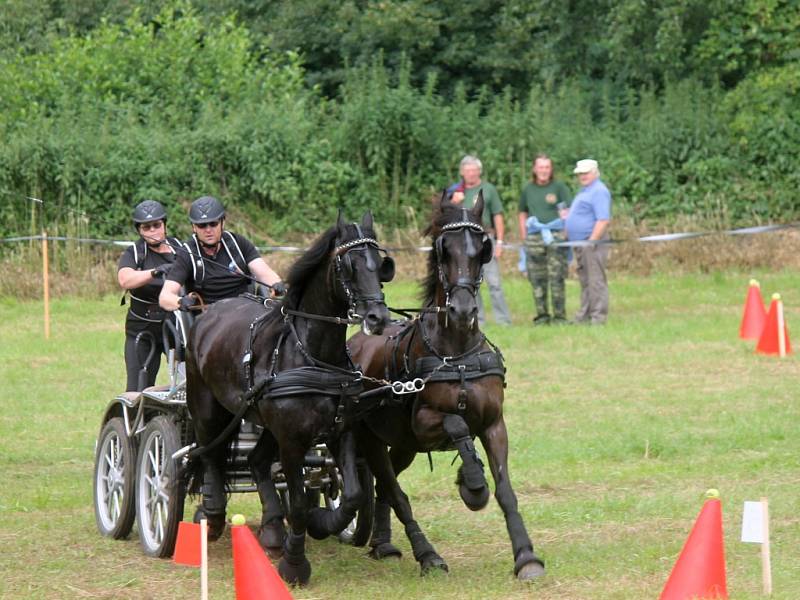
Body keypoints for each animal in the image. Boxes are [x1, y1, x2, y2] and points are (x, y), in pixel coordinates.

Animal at [182, 210, 394, 580]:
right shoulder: (293, 442)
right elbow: (296, 504)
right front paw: (295, 565)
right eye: (348, 265)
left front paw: (322, 523)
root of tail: (210, 312)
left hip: (266, 424)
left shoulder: (340, 431)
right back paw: (214, 516)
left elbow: (352, 495)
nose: (377, 318)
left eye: (379, 263)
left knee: (255, 461)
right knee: (210, 456)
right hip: (208, 408)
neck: (312, 354)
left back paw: (271, 528)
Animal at [348, 193, 544, 580]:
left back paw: (383, 544)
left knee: (384, 486)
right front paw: (472, 483)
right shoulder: (424, 424)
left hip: (403, 446)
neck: (456, 354)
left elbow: (505, 490)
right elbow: (457, 424)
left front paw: (526, 557)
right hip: (372, 440)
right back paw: (422, 553)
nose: (463, 310)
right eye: (443, 250)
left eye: (481, 249)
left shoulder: (494, 424)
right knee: (391, 487)